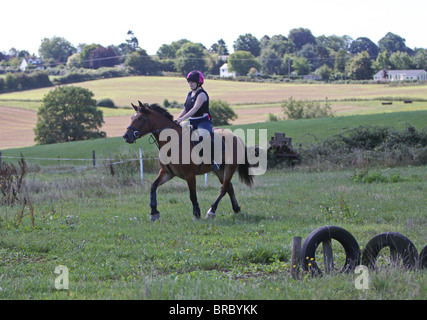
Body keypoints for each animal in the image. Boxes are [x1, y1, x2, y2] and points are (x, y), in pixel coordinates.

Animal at [122, 101, 254, 221]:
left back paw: (211, 211)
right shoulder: (167, 173)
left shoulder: (189, 175)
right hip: (219, 170)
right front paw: (154, 212)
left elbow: (192, 195)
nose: (126, 136)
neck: (172, 142)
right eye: (132, 118)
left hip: (230, 167)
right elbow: (153, 186)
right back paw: (236, 208)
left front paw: (197, 213)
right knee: (228, 187)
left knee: (224, 188)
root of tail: (236, 137)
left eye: (140, 118)